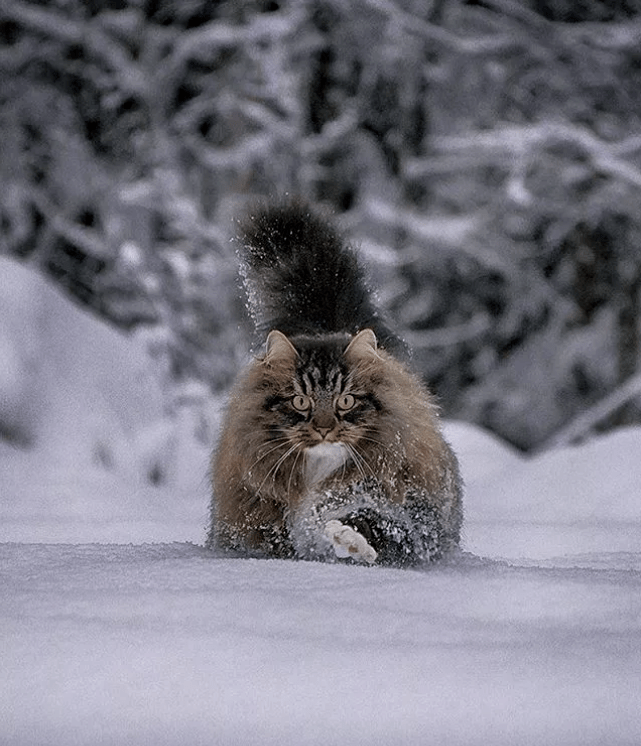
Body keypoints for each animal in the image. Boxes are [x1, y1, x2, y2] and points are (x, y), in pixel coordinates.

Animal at [208, 201, 462, 568]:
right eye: (300, 401)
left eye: (346, 401)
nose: (325, 428)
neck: (319, 473)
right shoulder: (254, 520)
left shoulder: (412, 520)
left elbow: (379, 527)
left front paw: (347, 538)